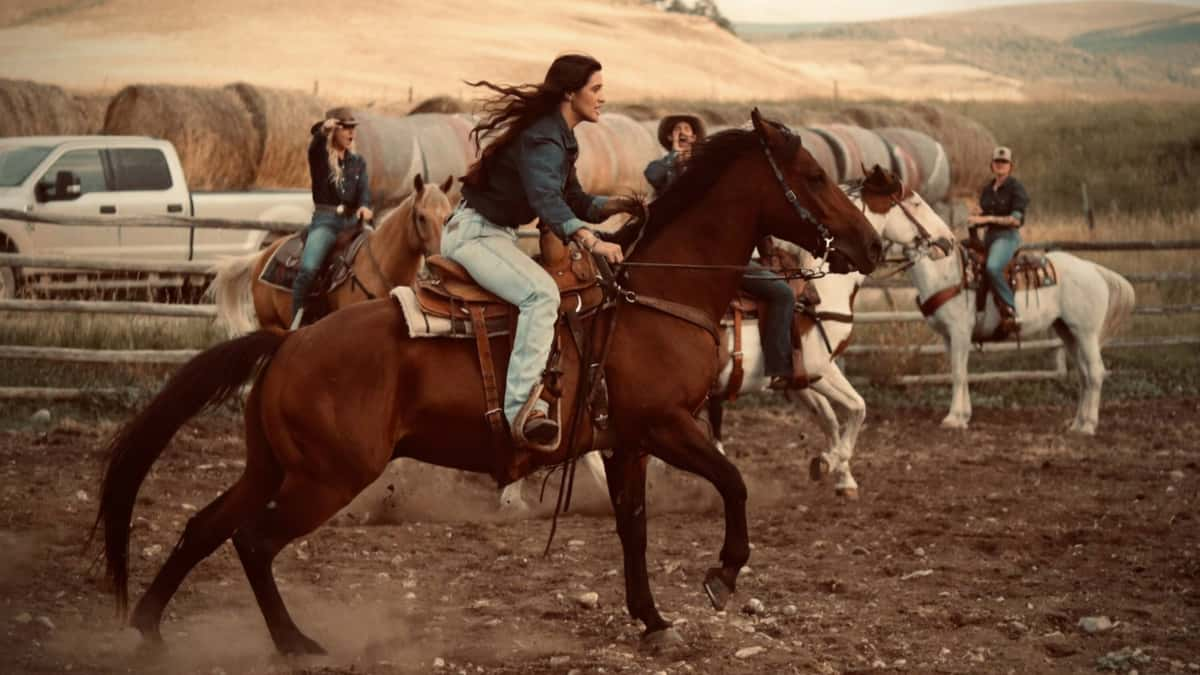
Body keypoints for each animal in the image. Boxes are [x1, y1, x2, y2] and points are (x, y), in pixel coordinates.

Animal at [206, 171, 453, 331]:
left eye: (448, 216)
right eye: (421, 217)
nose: (439, 260)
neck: (380, 267)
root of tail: (262, 256)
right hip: (272, 325)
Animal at [859, 165, 1128, 432]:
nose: (870, 247)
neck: (945, 274)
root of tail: (1094, 270)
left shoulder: (960, 330)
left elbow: (958, 373)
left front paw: (954, 418)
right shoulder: (948, 335)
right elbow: (959, 371)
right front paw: (964, 415)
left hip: (1086, 332)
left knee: (1095, 372)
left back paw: (1088, 425)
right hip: (1067, 330)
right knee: (1084, 373)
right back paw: (1077, 423)